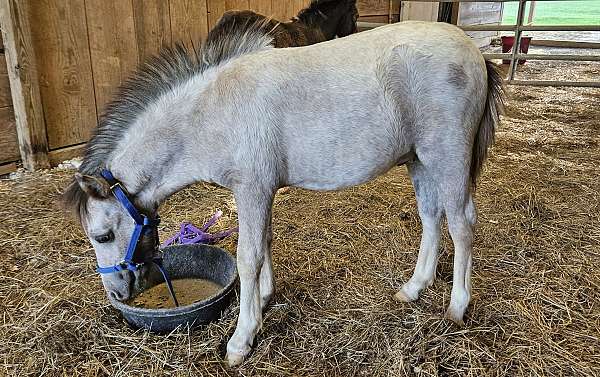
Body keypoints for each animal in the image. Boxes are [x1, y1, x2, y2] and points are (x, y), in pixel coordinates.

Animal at [63, 19, 506, 364]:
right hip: (419, 161)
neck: (211, 113)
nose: (116, 292)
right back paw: (414, 289)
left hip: (447, 158)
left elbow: (248, 256)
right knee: (432, 218)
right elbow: (265, 243)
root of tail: (474, 50)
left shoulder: (252, 190)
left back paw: (457, 307)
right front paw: (263, 299)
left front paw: (242, 338)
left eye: (102, 235)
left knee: (462, 225)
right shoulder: (261, 192)